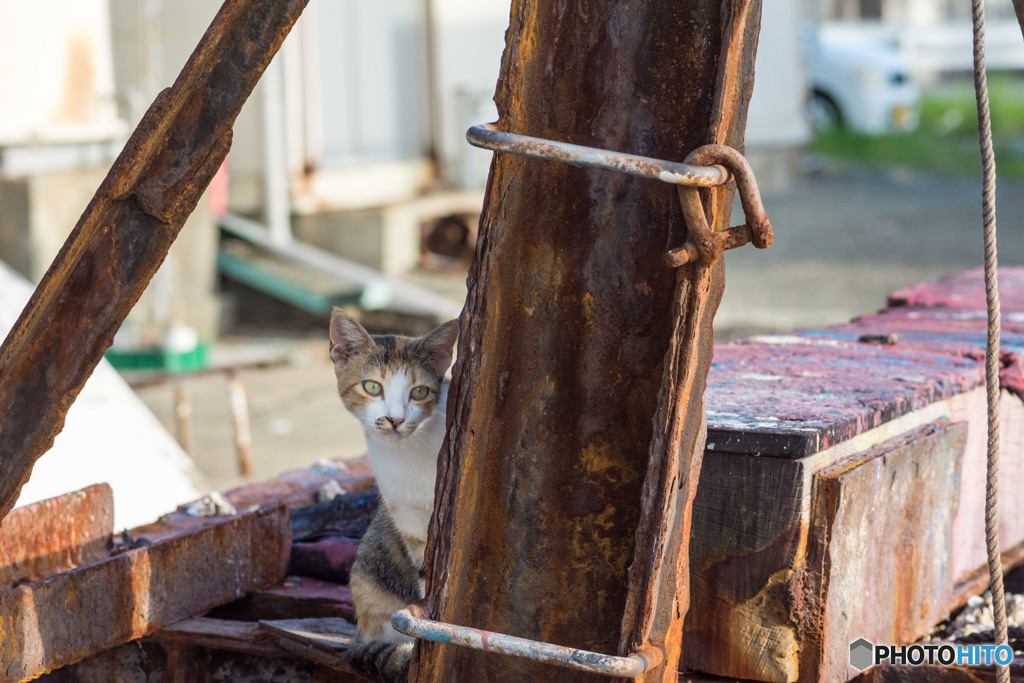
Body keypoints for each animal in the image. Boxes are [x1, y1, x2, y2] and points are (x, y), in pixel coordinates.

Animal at [327, 311, 460, 683]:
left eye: (419, 391)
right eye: (373, 386)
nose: (396, 419)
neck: (409, 453)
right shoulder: (410, 522)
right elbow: (426, 577)